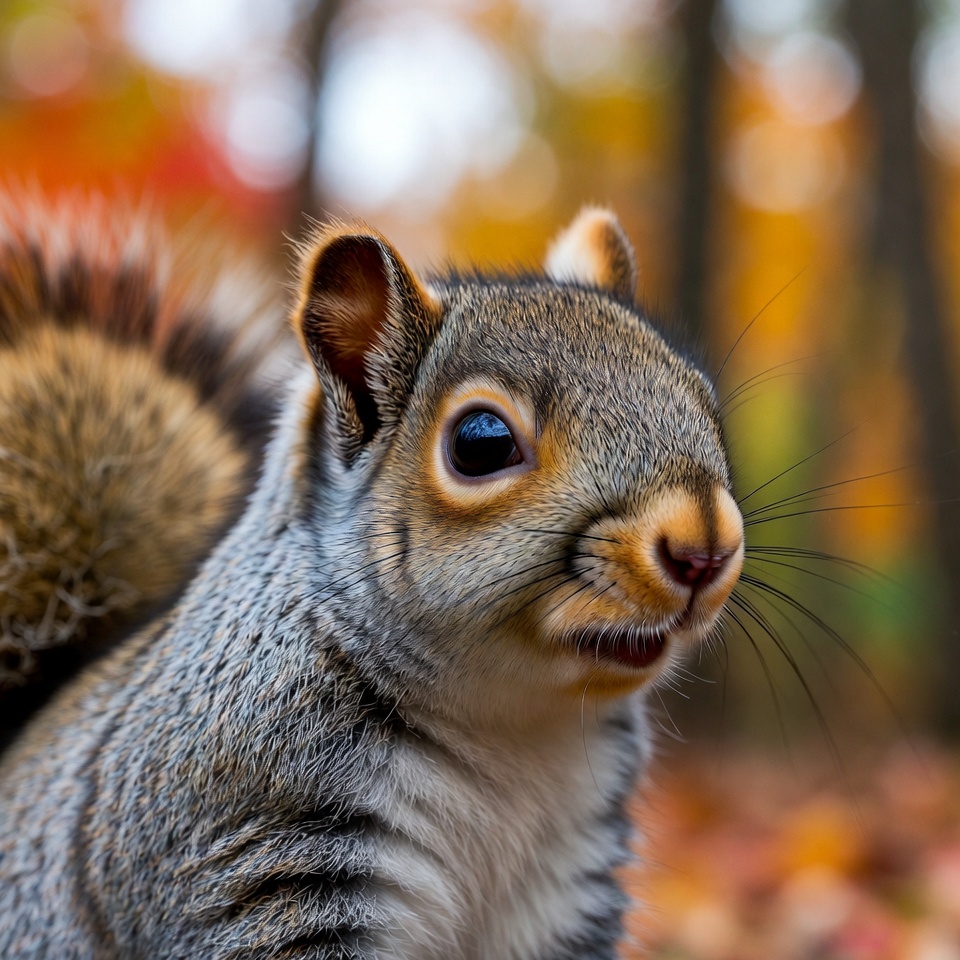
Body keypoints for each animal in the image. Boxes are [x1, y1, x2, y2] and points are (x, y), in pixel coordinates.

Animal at [0, 195, 744, 959]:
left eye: (704, 403)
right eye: (481, 443)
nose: (705, 549)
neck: (511, 725)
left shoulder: (568, 883)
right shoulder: (248, 849)